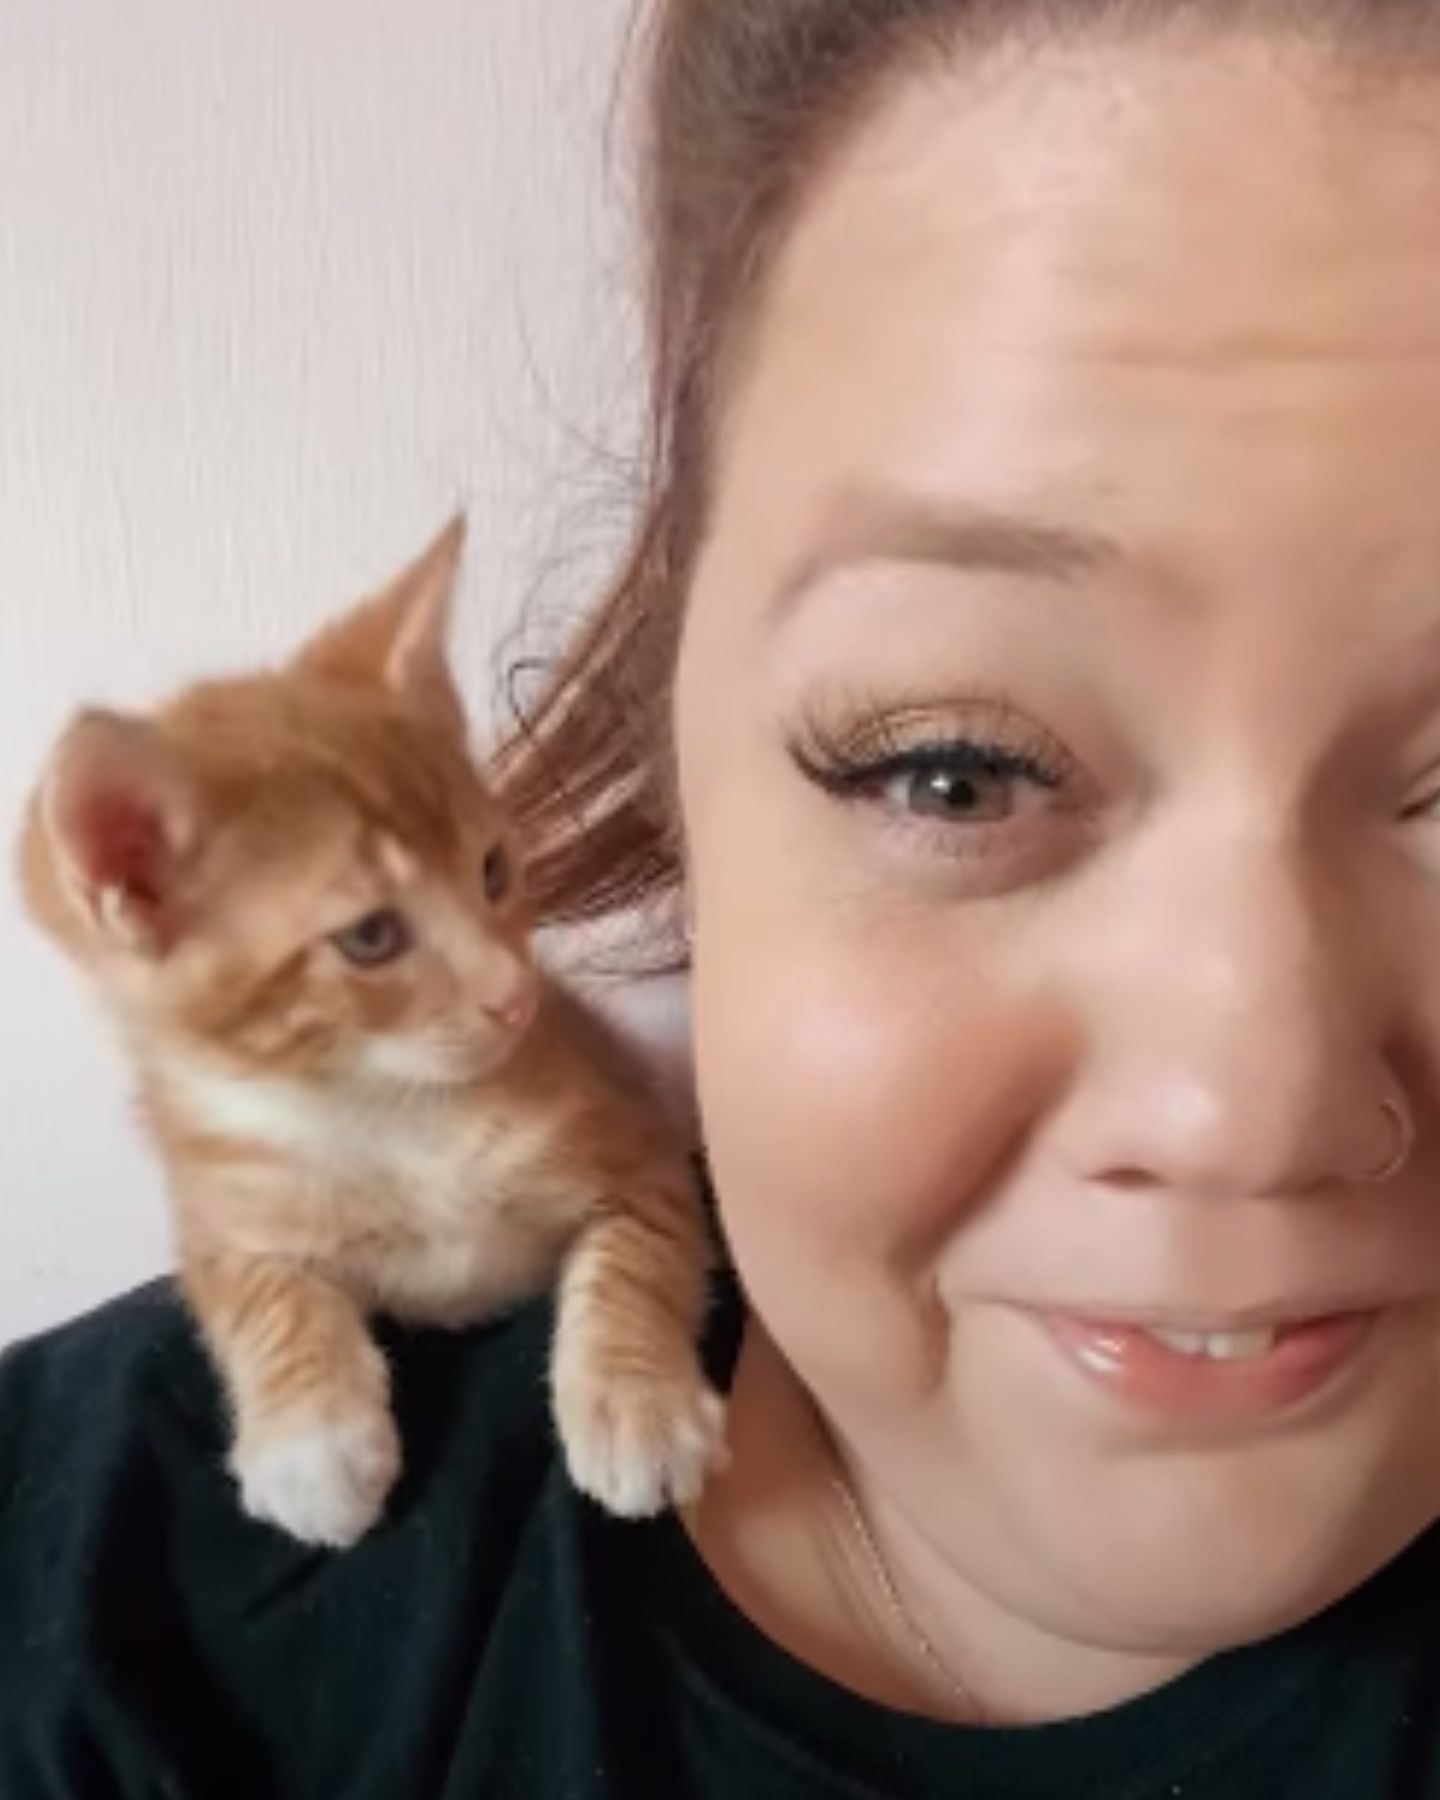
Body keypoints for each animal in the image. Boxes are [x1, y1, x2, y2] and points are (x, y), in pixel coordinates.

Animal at [16, 518, 727, 1548]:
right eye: (371, 938)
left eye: (492, 869)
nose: (515, 997)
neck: (386, 1104)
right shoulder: (218, 1209)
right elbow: (261, 1291)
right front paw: (311, 1443)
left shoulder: (639, 1134)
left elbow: (641, 1250)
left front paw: (639, 1403)